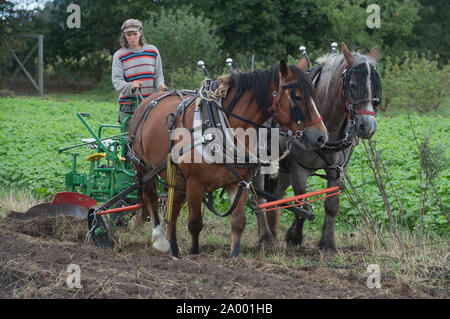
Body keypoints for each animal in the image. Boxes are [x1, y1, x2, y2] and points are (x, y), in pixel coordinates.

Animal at [128, 60, 328, 260]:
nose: (321, 137)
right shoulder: (194, 184)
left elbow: (238, 222)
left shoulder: (240, 183)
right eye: (297, 97)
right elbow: (195, 224)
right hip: (143, 168)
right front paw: (194, 254)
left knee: (173, 208)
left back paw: (174, 249)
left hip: (177, 178)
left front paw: (234, 256)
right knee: (151, 197)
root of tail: (148, 100)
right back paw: (160, 240)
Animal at [258, 43, 382, 252]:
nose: (368, 127)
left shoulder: (337, 170)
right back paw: (266, 236)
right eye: (352, 85)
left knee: (276, 194)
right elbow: (302, 204)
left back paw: (273, 233)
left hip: (284, 169)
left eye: (375, 87)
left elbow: (331, 205)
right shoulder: (298, 170)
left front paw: (327, 243)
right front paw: (295, 237)